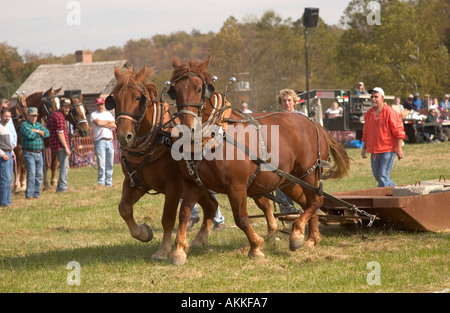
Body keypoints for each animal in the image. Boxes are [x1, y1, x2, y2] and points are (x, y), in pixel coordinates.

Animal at [169, 56, 352, 264]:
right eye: (175, 90)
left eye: (199, 89)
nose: (187, 127)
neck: (214, 136)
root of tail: (313, 123)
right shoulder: (191, 183)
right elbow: (184, 214)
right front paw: (178, 250)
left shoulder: (236, 186)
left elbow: (241, 218)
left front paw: (256, 246)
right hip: (288, 180)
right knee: (308, 203)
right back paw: (311, 238)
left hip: (309, 173)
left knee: (317, 200)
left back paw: (297, 233)